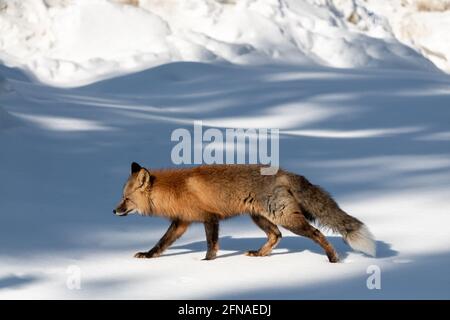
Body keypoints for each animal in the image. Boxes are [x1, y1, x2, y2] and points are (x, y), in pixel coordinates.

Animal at [113, 162, 376, 262]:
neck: (173, 189)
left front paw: (206, 262)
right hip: (259, 217)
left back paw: (333, 259)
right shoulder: (181, 222)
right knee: (276, 236)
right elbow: (161, 243)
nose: (114, 210)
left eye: (126, 199)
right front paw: (148, 255)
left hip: (285, 218)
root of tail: (284, 172)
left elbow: (211, 244)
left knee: (317, 234)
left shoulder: (210, 218)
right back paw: (259, 255)